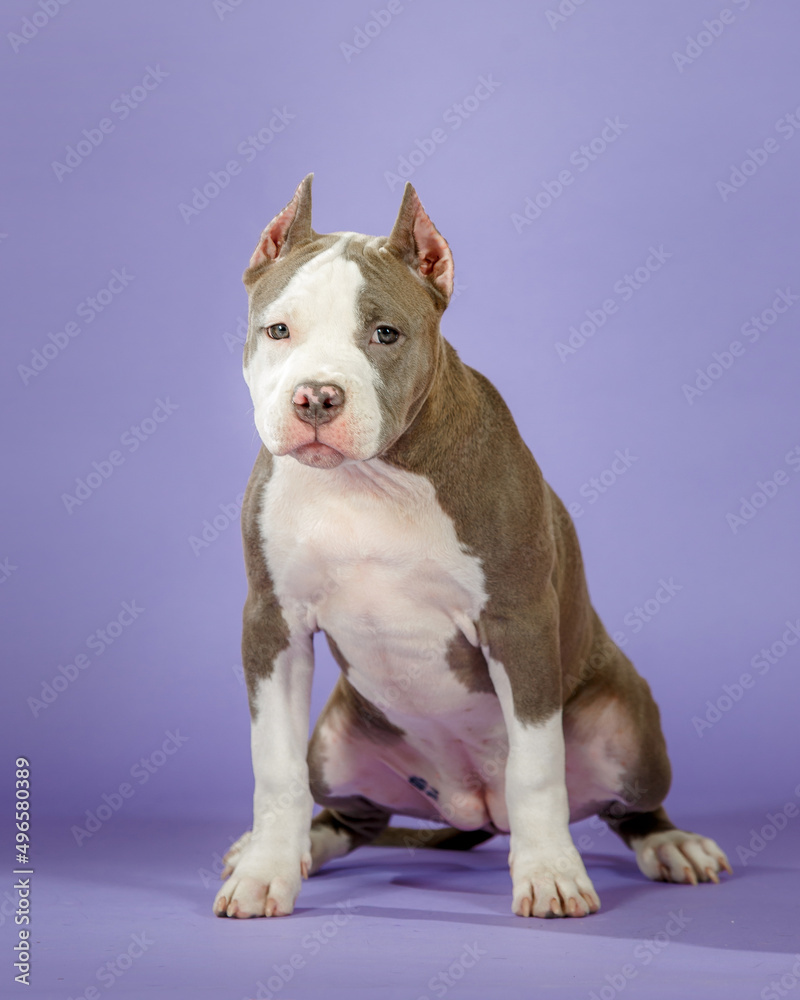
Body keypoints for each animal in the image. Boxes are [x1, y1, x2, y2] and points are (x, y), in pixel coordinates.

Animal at [214, 176, 732, 916]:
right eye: (278, 330)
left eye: (385, 334)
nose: (316, 397)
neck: (367, 480)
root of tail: (475, 805)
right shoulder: (272, 623)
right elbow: (275, 768)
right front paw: (266, 872)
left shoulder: (518, 622)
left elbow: (538, 769)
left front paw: (549, 875)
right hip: (337, 742)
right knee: (350, 815)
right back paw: (292, 847)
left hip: (625, 722)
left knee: (627, 808)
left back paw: (672, 844)